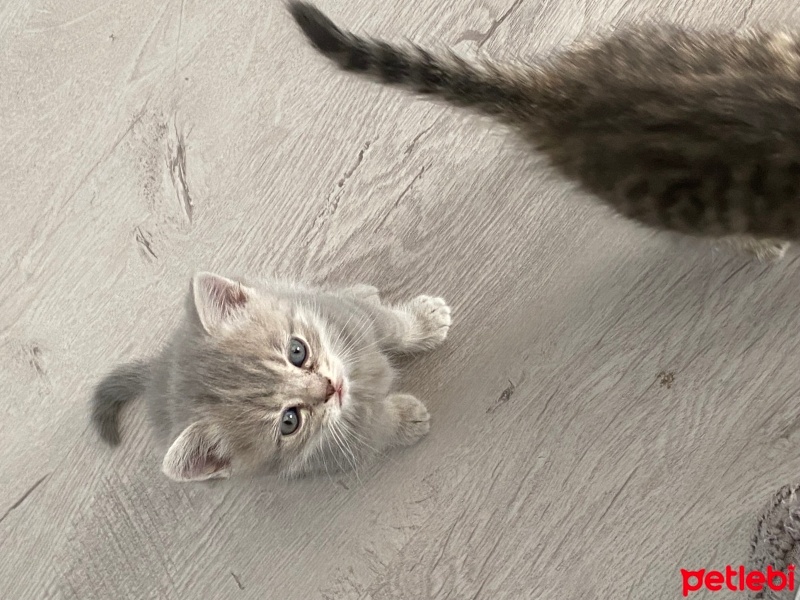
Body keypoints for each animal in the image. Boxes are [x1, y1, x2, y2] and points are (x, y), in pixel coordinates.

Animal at [91, 274, 454, 480]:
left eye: (297, 351)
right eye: (289, 421)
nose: (331, 388)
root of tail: (159, 371)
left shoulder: (349, 316)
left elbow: (392, 326)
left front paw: (422, 322)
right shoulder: (329, 450)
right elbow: (374, 429)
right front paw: (405, 420)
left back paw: (361, 291)